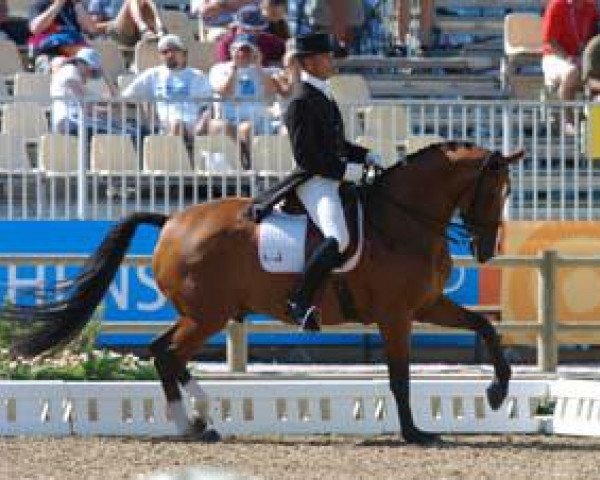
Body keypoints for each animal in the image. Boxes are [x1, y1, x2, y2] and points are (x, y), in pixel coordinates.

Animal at [4, 141, 524, 444]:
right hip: (208, 316)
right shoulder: (396, 314)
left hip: (203, 313)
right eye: (494, 190)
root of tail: (171, 221)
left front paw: (498, 391)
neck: (403, 219)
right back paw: (191, 425)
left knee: (161, 351)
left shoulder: (428, 304)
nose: (484, 250)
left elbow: (485, 327)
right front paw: (416, 433)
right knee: (168, 354)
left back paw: (200, 418)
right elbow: (400, 376)